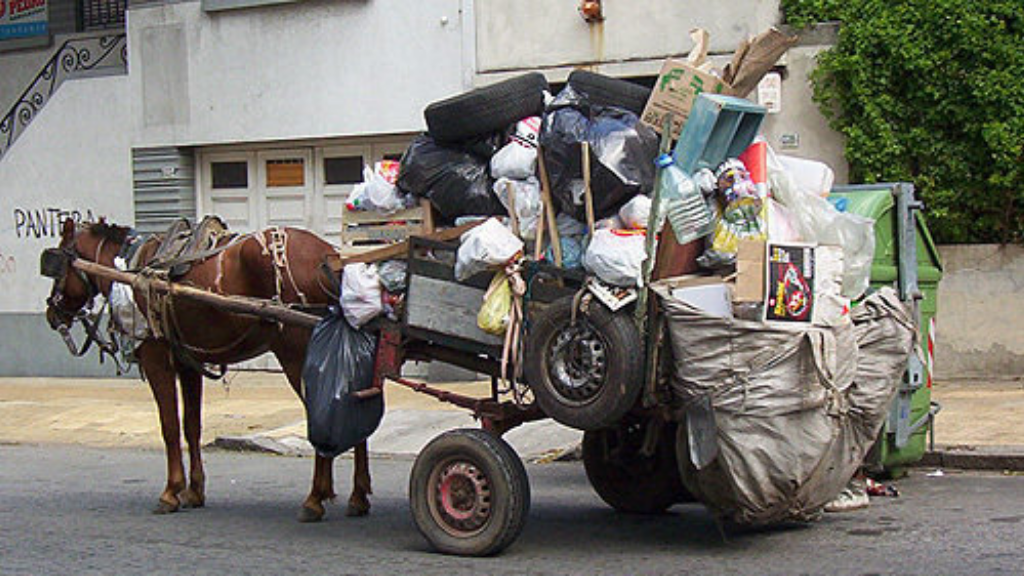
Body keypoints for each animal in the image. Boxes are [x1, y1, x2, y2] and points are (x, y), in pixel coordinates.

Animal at [45, 216, 372, 520]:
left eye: (55, 264)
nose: (51, 313)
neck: (130, 266)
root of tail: (329, 255)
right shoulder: (188, 364)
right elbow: (192, 426)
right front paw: (194, 490)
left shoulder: (157, 360)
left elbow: (169, 427)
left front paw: (171, 492)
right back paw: (357, 496)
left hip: (296, 354)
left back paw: (315, 498)